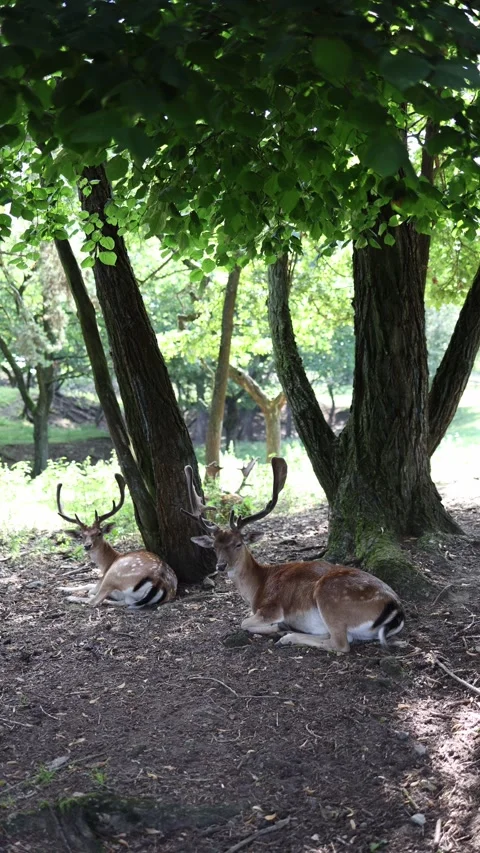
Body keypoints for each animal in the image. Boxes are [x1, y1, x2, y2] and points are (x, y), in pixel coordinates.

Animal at [56, 474, 177, 609]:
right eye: (81, 536)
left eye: (99, 533)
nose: (87, 546)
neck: (107, 563)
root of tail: (158, 582)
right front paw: (62, 588)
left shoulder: (102, 579)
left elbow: (89, 586)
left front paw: (63, 588)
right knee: (126, 602)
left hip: (113, 576)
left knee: (94, 600)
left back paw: (73, 598)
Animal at [182, 457, 404, 653]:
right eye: (214, 547)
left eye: (238, 544)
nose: (220, 566)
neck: (257, 588)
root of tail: (395, 609)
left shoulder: (271, 608)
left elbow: (244, 622)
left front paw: (277, 627)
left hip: (330, 599)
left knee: (341, 644)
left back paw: (287, 635)